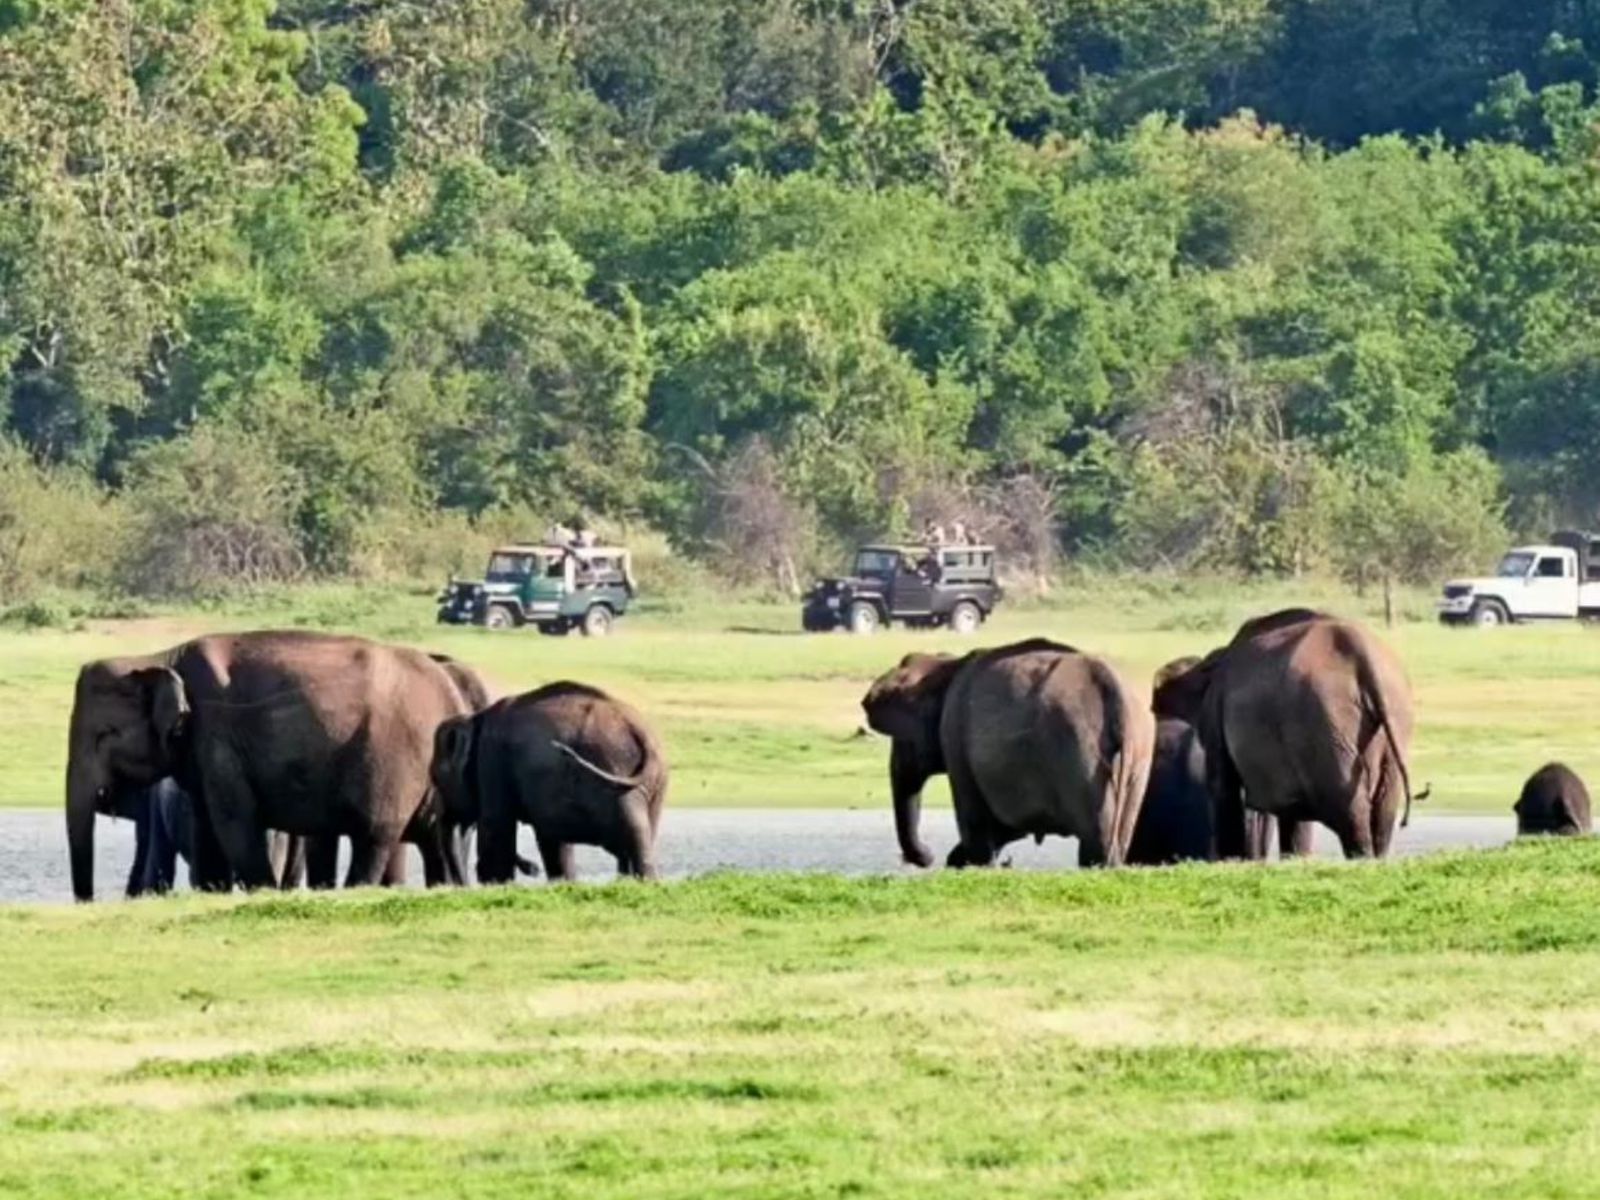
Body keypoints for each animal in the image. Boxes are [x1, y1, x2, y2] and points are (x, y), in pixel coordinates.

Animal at [67, 630, 473, 902]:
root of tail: (452, 693)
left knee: (375, 833)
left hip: (393, 759)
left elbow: (234, 822)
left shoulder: (219, 736)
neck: (161, 657)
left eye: (106, 734)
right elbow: (205, 825)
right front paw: (215, 892)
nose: (88, 901)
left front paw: (262, 892)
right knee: (436, 840)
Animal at [428, 684, 665, 883]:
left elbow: (496, 826)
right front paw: (564, 883)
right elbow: (552, 840)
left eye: (435, 778)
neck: (474, 719)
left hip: (615, 771)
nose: (532, 869)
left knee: (631, 832)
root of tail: (637, 730)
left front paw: (495, 883)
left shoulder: (491, 761)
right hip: (651, 781)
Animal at [864, 640, 1152, 876]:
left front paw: (972, 864)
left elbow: (975, 817)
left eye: (902, 740)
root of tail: (1113, 689)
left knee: (1094, 841)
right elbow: (1009, 825)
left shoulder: (954, 733)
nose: (927, 857)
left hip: (1080, 753)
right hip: (1137, 752)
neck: (946, 665)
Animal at [1152, 614, 1427, 857]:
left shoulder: (1216, 712)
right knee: (1383, 811)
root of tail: (1364, 658)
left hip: (1326, 723)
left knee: (1348, 808)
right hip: (1395, 716)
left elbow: (1223, 787)